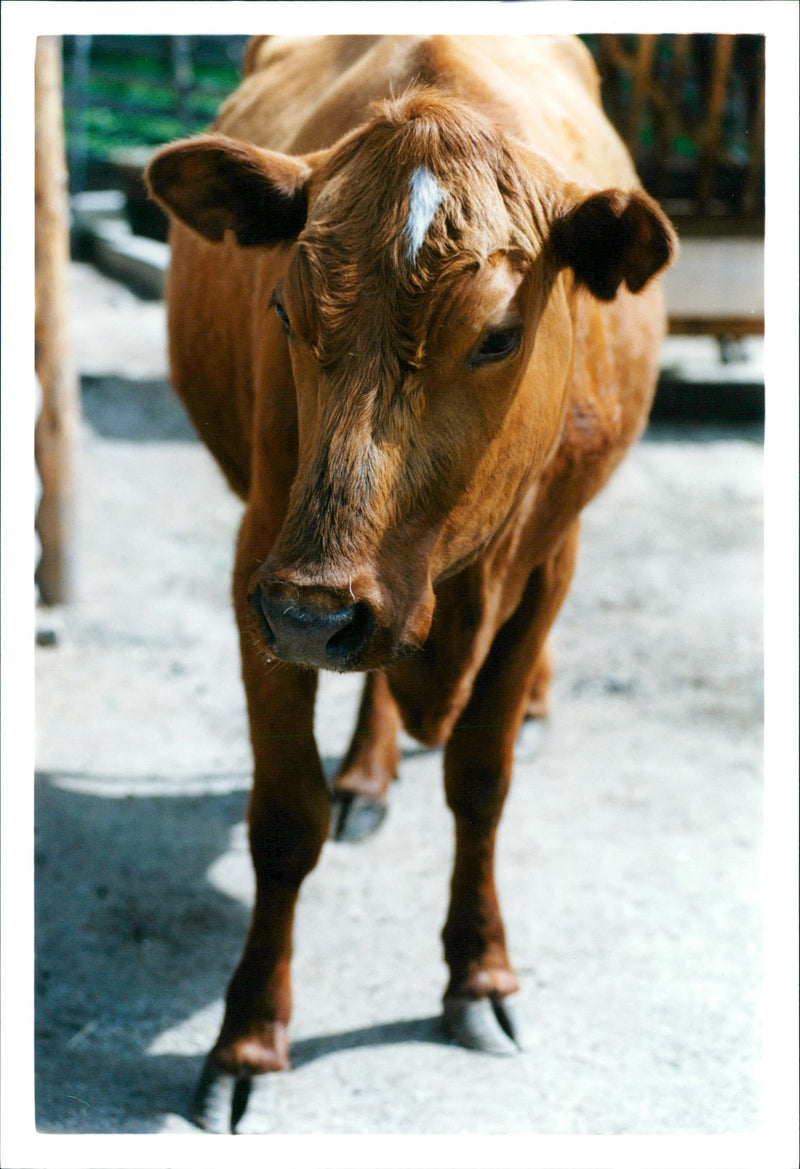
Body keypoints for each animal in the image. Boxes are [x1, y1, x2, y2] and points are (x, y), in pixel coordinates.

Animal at [145, 34, 673, 1131]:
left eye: (498, 335)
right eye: (283, 308)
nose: (317, 612)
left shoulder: (546, 563)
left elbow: (480, 778)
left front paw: (479, 974)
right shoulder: (261, 566)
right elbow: (283, 817)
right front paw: (248, 1038)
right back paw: (365, 772)